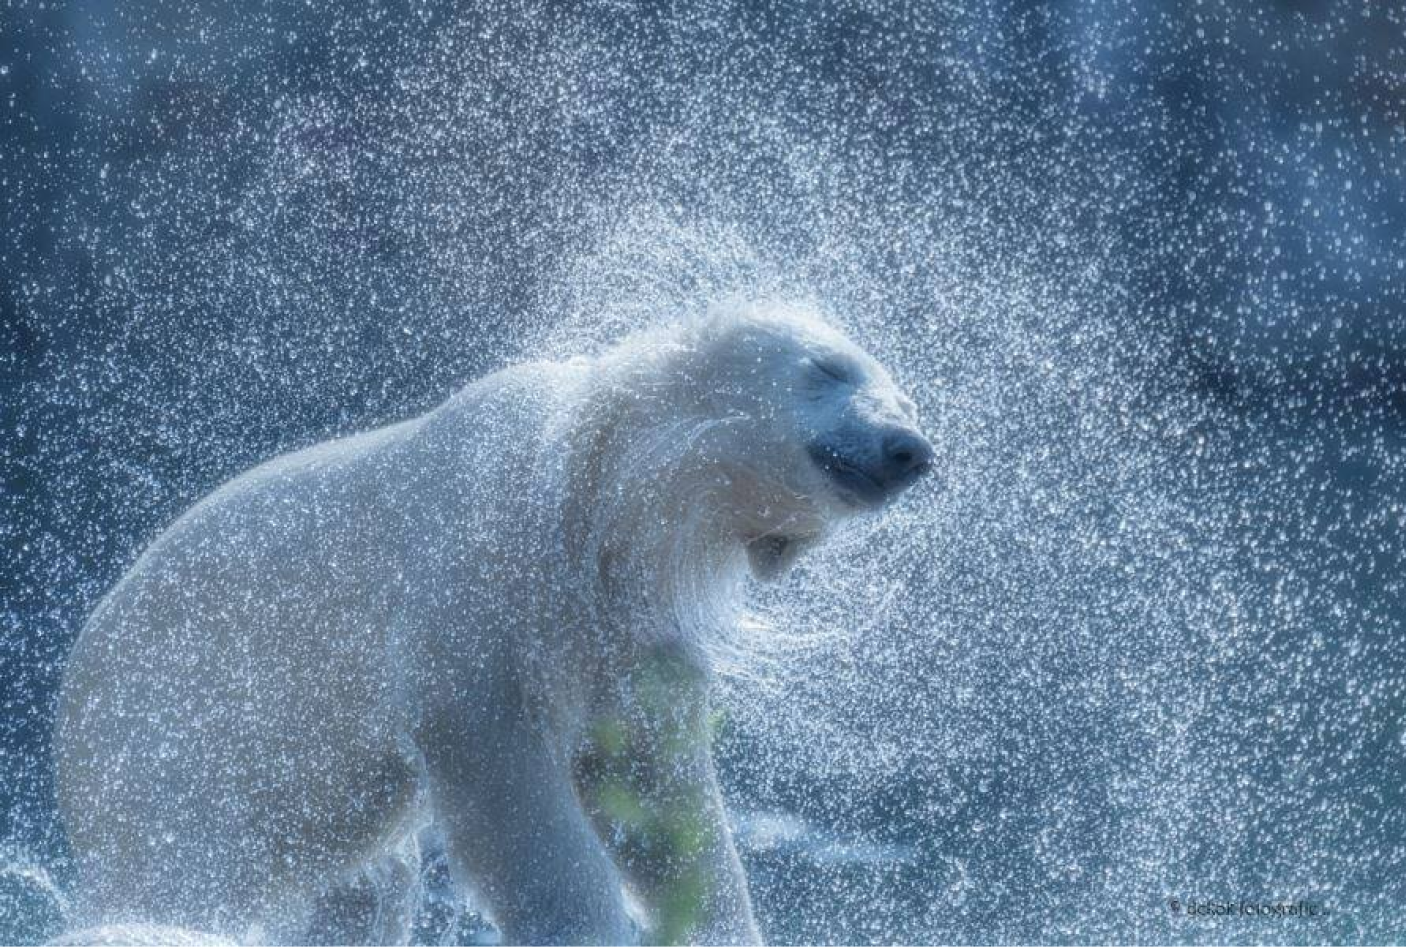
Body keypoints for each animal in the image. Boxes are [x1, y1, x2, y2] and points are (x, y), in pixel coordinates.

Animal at [53, 301, 933, 946]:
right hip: (175, 735)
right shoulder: (478, 576)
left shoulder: (623, 626)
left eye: (909, 395)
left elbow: (654, 786)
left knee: (366, 885)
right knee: (188, 864)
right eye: (828, 367)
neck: (585, 497)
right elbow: (506, 781)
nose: (910, 448)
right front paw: (586, 924)